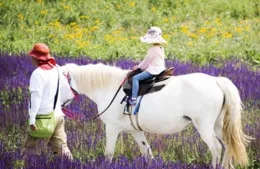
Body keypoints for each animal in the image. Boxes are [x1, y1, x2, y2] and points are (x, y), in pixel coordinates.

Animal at [60, 62, 250, 168]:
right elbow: (147, 152)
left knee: (216, 148)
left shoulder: (112, 129)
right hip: (218, 126)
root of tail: (217, 81)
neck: (110, 87)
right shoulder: (136, 131)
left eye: (59, 84)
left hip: (204, 126)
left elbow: (108, 153)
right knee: (228, 146)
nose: (58, 107)